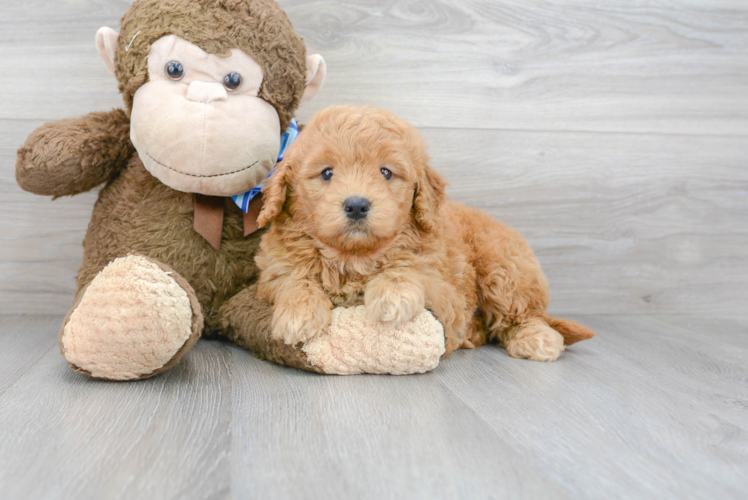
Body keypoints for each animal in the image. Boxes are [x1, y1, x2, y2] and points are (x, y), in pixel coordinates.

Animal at [258, 107, 596, 362]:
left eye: (386, 172)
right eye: (327, 173)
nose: (356, 205)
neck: (353, 257)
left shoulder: (448, 293)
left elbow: (410, 270)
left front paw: (392, 293)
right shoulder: (273, 273)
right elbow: (293, 279)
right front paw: (299, 313)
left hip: (504, 269)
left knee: (524, 314)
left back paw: (536, 338)